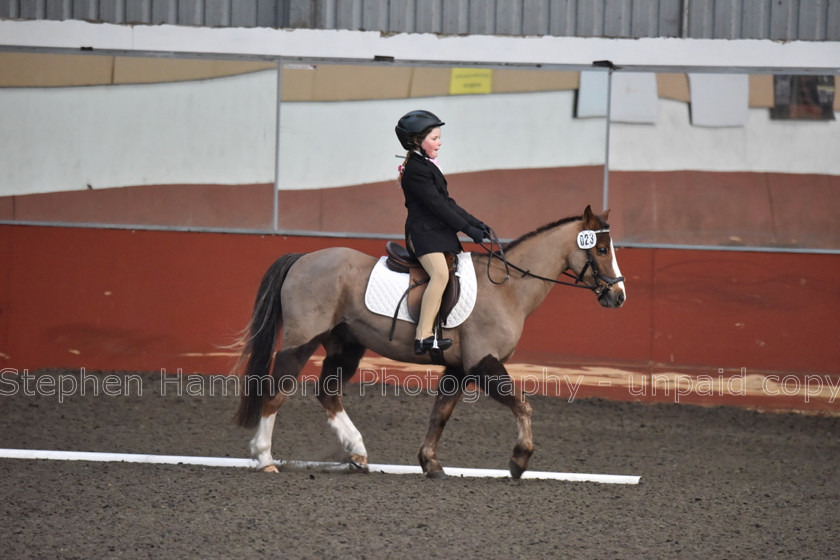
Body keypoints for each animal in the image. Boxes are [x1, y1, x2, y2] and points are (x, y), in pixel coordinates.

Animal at [233, 206, 628, 476]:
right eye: (601, 250)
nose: (618, 296)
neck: (508, 289)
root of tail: (303, 258)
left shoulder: (459, 368)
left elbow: (440, 414)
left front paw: (430, 463)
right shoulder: (482, 362)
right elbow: (523, 404)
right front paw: (519, 460)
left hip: (345, 345)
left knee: (328, 392)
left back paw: (357, 452)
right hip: (302, 339)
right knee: (277, 389)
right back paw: (264, 457)